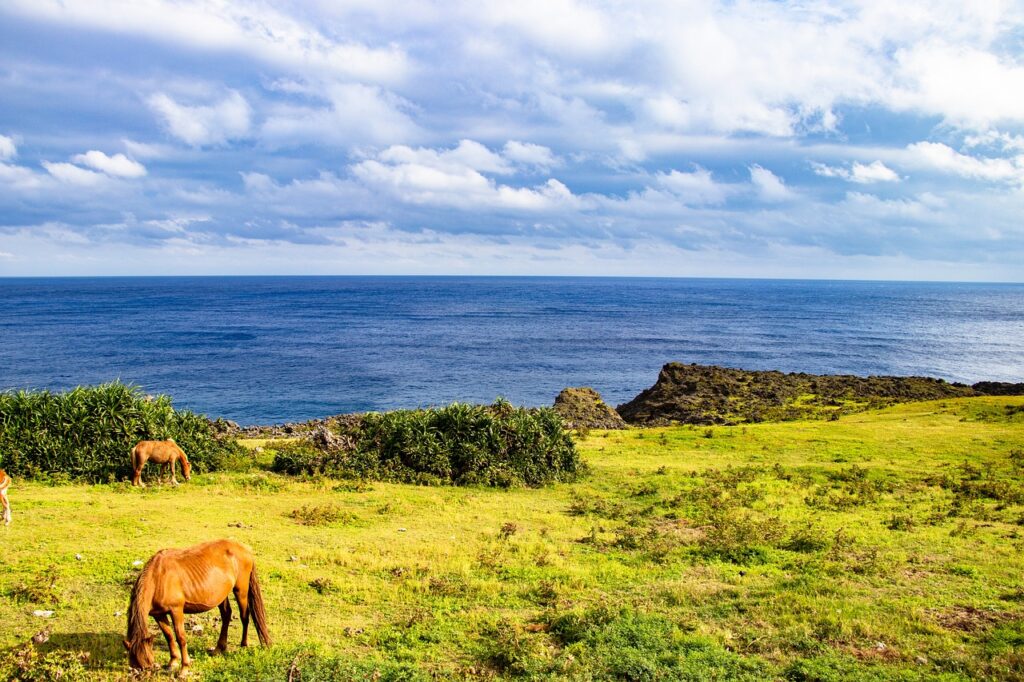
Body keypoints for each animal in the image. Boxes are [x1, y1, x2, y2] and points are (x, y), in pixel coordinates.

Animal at [124, 539, 270, 671]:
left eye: (147, 666)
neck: (158, 577)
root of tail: (245, 549)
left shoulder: (176, 610)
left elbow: (180, 638)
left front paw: (184, 668)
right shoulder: (158, 614)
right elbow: (169, 636)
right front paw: (173, 662)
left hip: (241, 591)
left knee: (244, 617)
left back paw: (243, 645)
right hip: (222, 595)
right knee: (226, 615)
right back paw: (219, 648)